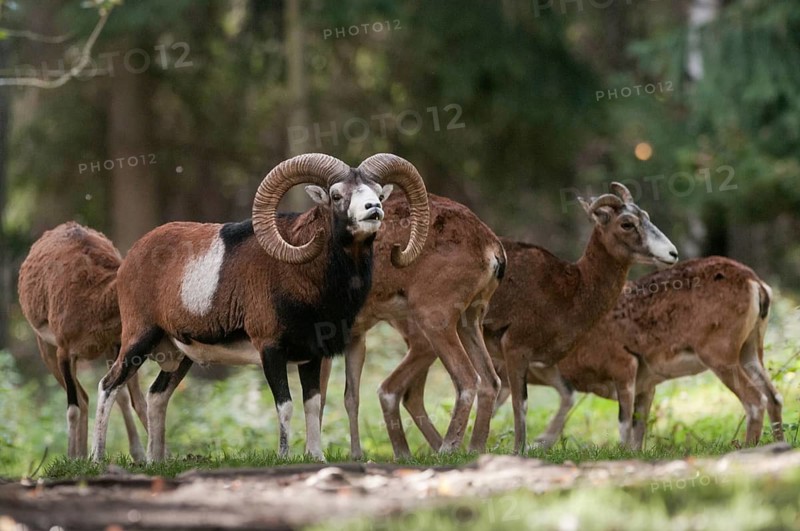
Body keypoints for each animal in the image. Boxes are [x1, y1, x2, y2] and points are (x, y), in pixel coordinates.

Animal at [17, 222, 148, 460]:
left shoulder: (115, 343)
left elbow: (129, 398)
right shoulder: (64, 349)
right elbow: (72, 408)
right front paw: (70, 458)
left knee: (111, 397)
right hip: (45, 348)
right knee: (83, 398)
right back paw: (79, 455)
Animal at [90, 153, 430, 462]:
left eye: (377, 191)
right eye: (336, 195)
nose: (374, 209)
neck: (303, 278)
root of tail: (130, 258)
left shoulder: (312, 356)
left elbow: (312, 405)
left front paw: (316, 458)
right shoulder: (271, 351)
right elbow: (286, 406)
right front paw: (283, 456)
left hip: (180, 357)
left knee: (156, 397)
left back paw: (155, 461)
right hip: (139, 339)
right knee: (108, 386)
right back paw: (97, 458)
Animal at [319, 193, 506, 458]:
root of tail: (490, 245)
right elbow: (349, 397)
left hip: (435, 324)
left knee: (466, 380)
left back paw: (446, 448)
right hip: (469, 321)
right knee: (489, 381)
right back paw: (473, 449)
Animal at [493, 256, 783, 449]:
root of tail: (757, 284)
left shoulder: (623, 363)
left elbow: (622, 424)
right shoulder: (647, 383)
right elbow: (638, 431)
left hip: (718, 351)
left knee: (755, 399)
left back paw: (749, 448)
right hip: (751, 349)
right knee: (774, 396)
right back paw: (779, 445)